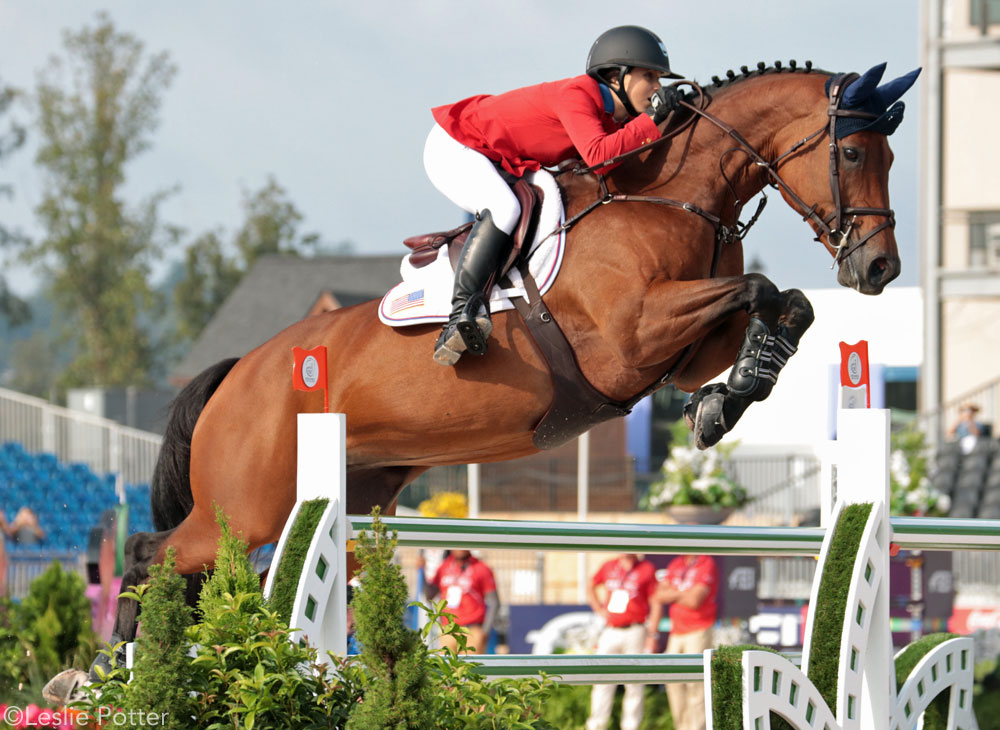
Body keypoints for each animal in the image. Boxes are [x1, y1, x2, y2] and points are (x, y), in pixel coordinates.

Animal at [95, 62, 916, 676]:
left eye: (890, 157)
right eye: (851, 154)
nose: (879, 270)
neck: (673, 194)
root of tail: (241, 370)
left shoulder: (680, 350)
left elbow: (784, 307)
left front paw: (727, 400)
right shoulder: (630, 336)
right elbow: (759, 290)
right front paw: (727, 400)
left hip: (352, 503)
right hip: (244, 510)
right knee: (149, 556)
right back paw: (118, 664)